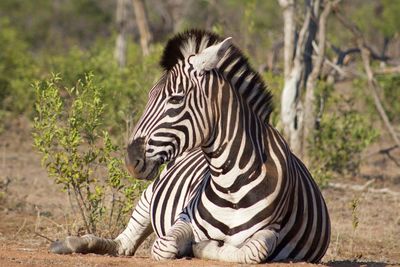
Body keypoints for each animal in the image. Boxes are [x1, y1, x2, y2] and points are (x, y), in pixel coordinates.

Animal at [50, 29, 332, 264]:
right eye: (149, 97)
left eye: (176, 99)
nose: (131, 161)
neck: (231, 185)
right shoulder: (184, 218)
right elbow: (164, 246)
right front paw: (191, 247)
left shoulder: (271, 230)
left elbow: (253, 250)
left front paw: (200, 248)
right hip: (149, 195)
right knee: (123, 244)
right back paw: (69, 243)